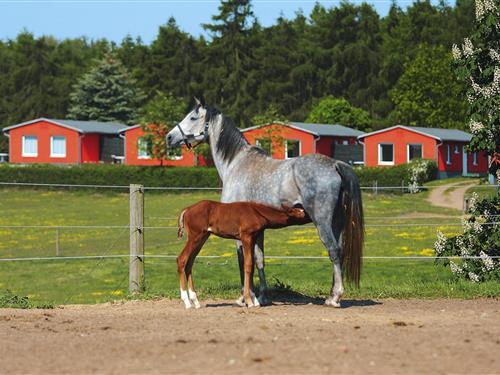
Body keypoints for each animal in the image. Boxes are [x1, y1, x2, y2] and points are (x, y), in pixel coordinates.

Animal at [178, 200, 306, 308]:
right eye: (299, 212)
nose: (307, 215)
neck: (256, 212)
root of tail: (187, 210)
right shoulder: (246, 237)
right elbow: (248, 265)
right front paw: (249, 301)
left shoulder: (253, 238)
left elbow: (252, 266)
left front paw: (255, 300)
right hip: (195, 236)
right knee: (181, 259)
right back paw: (187, 302)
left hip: (203, 236)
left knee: (190, 263)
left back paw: (196, 302)